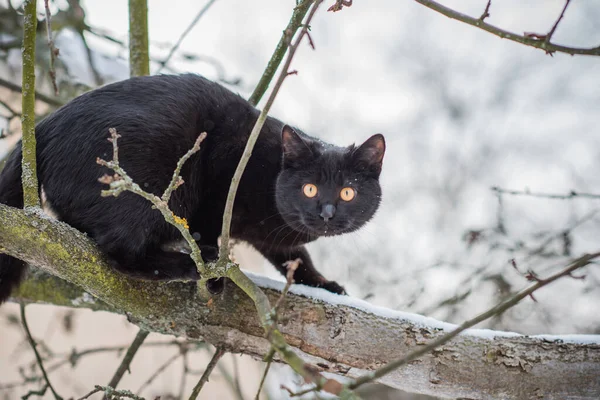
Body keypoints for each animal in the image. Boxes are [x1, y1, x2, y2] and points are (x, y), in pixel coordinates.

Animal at [0, 73, 384, 302]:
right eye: (309, 189)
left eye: (347, 192)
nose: (327, 213)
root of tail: (41, 127)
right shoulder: (217, 192)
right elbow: (207, 233)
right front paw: (213, 277)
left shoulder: (275, 236)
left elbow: (296, 257)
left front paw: (323, 284)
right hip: (152, 186)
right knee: (120, 254)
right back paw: (192, 265)